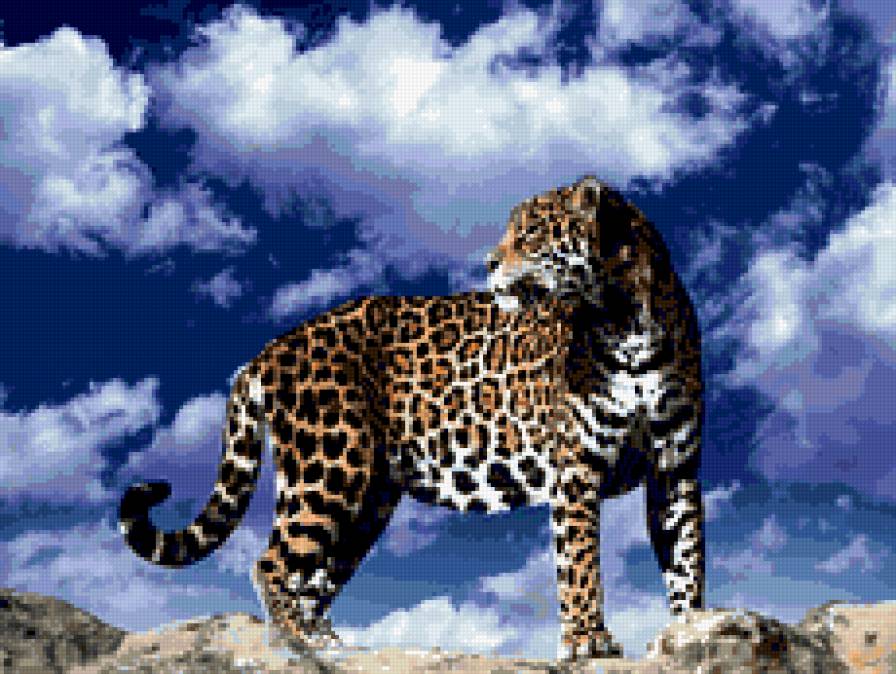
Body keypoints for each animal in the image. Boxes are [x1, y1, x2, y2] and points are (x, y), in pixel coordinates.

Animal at [119, 176, 705, 661]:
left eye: (532, 231)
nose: (489, 263)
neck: (626, 322)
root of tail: (268, 351)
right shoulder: (577, 468)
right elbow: (579, 559)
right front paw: (587, 640)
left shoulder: (675, 469)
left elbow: (687, 559)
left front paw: (690, 631)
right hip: (330, 462)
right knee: (273, 563)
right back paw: (301, 643)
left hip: (368, 500)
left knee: (313, 576)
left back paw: (327, 639)